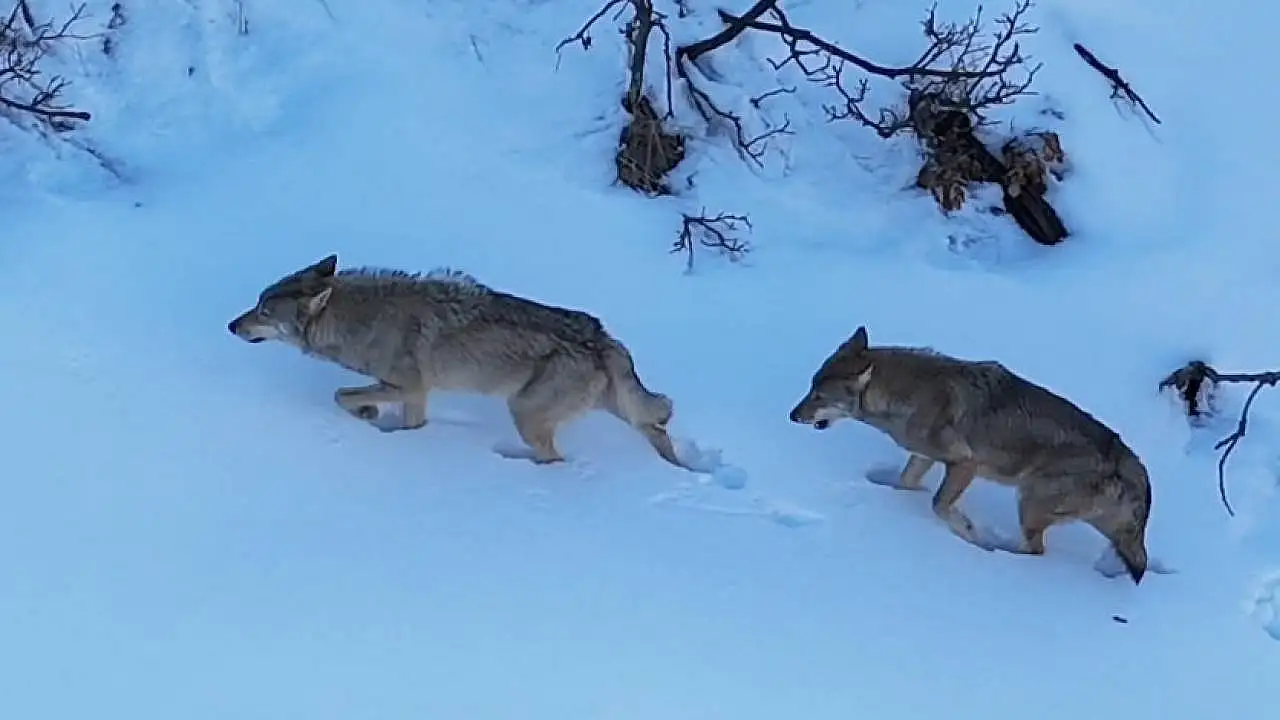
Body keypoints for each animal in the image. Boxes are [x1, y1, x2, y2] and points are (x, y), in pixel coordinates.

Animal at [227, 254, 686, 469]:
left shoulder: (408, 386)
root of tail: (603, 339)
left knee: (555, 460)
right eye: (256, 303)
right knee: (658, 427)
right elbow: (404, 421)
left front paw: (368, 414)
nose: (231, 325)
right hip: (620, 411)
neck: (360, 322)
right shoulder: (417, 395)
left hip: (524, 413)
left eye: (263, 312)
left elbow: (341, 395)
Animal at [788, 325, 1152, 584]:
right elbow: (905, 485)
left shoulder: (965, 464)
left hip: (1028, 503)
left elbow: (939, 505)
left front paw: (969, 533)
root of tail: (1126, 458)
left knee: (1036, 552)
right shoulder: (923, 456)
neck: (908, 397)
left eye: (818, 396)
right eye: (810, 388)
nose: (792, 416)